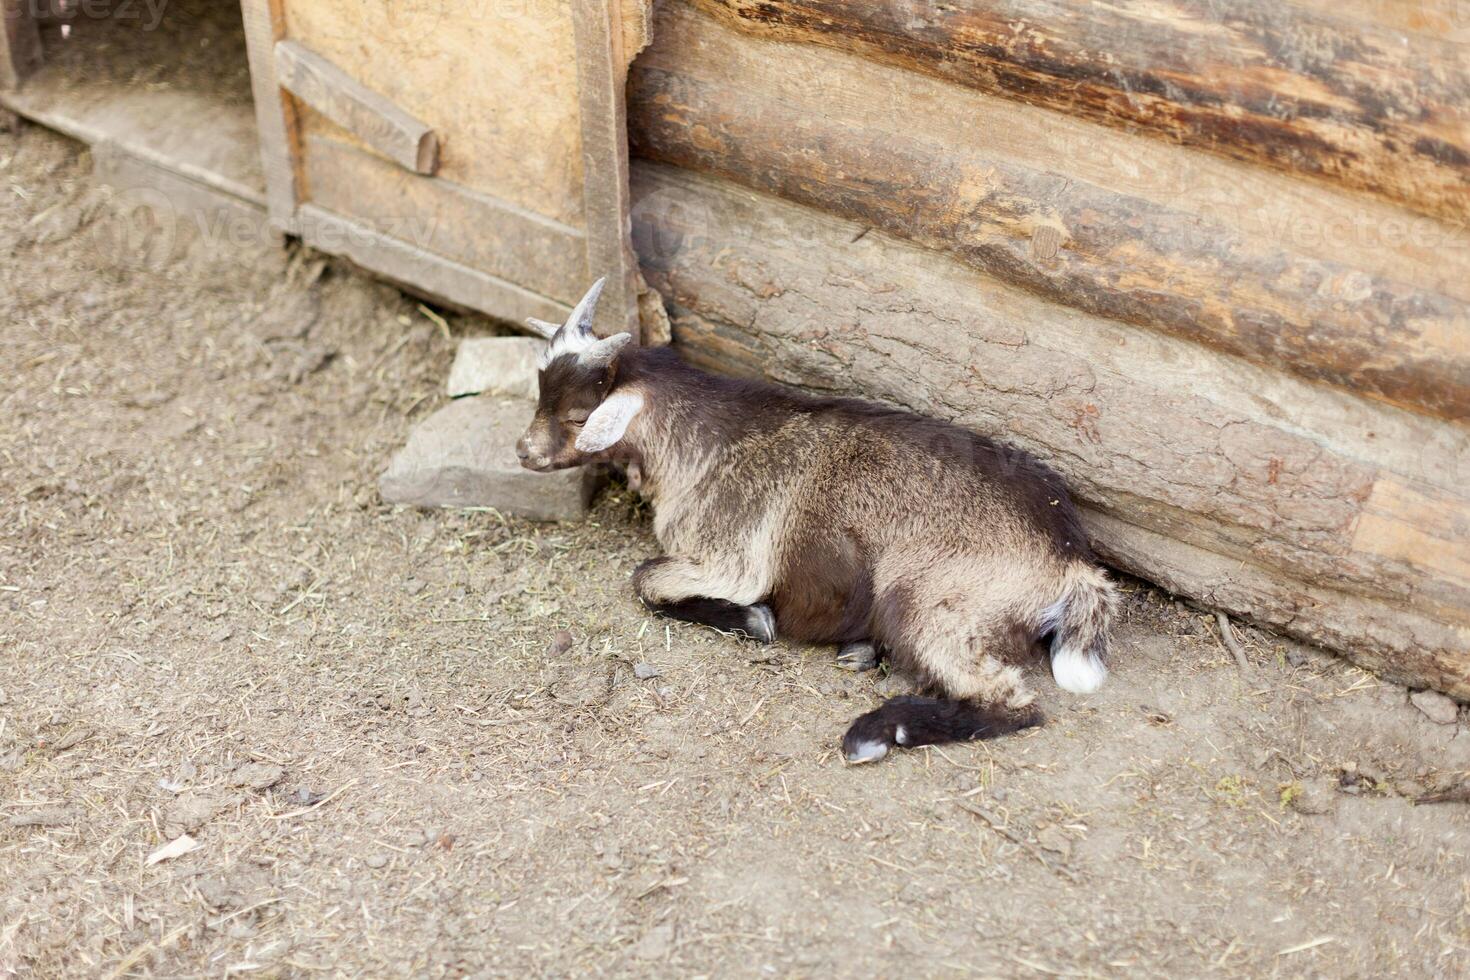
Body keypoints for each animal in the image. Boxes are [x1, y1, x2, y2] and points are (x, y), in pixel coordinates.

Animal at [517, 279, 1111, 764]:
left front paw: (755, 620)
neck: (698, 443)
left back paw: (876, 732)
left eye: (579, 417)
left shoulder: (730, 559)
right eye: (541, 395)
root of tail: (1071, 562)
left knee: (1013, 703)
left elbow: (646, 580)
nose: (523, 452)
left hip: (932, 599)